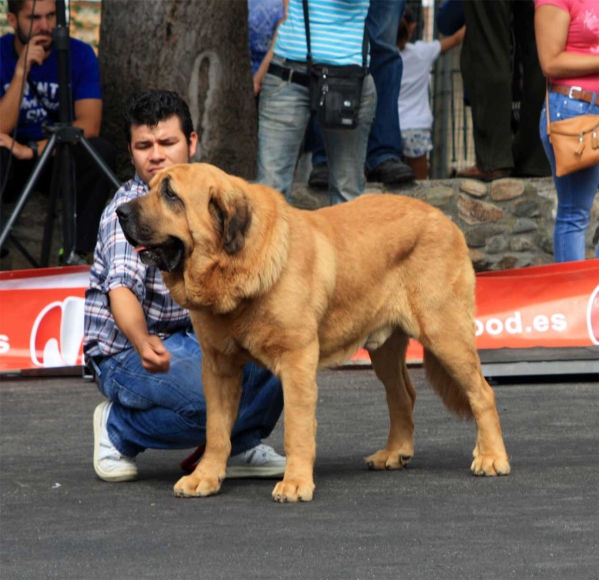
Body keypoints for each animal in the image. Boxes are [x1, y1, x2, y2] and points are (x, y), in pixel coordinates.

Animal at [117, 163, 510, 502]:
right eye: (151, 186)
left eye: (171, 194)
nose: (120, 212)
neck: (237, 264)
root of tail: (445, 219)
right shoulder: (218, 366)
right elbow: (216, 429)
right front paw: (206, 477)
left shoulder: (297, 362)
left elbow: (297, 427)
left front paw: (295, 483)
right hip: (386, 349)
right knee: (403, 396)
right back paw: (394, 453)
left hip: (445, 332)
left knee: (481, 392)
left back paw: (491, 457)